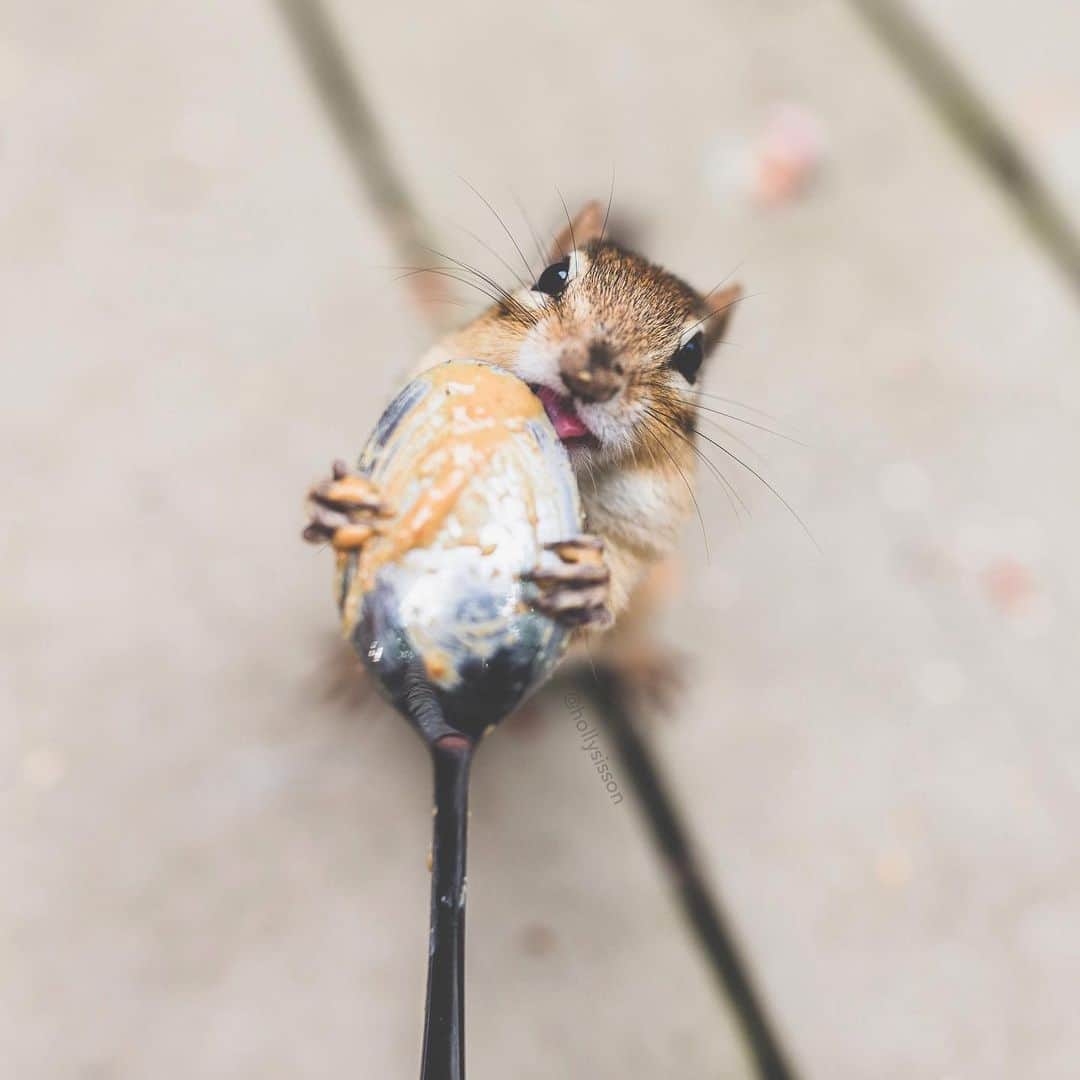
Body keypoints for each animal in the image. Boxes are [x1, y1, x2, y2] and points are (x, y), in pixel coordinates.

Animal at [304, 201, 741, 657]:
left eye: (693, 355)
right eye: (553, 275)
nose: (590, 377)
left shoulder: (642, 535)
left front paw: (591, 587)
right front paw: (339, 506)